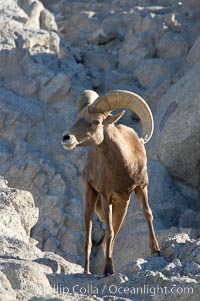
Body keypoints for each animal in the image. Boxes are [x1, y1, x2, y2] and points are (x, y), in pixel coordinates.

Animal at [61, 90, 160, 276]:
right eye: (78, 118)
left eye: (96, 121)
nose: (66, 138)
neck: (125, 167)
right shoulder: (106, 197)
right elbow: (108, 231)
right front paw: (108, 270)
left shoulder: (141, 188)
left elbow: (148, 214)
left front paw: (156, 251)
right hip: (90, 199)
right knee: (89, 239)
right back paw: (87, 271)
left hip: (122, 207)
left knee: (113, 236)